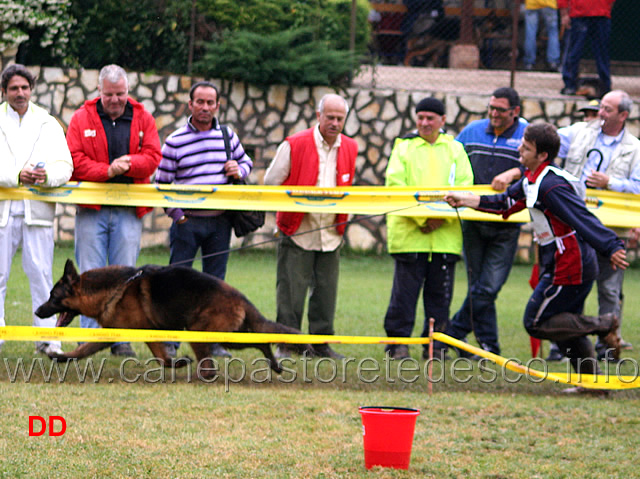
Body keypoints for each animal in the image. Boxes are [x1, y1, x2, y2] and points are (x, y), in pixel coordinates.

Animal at [36, 258, 314, 376]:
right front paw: (61, 357)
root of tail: (241, 298)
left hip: (204, 332)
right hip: (230, 335)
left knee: (215, 363)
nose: (38, 311)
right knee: (261, 341)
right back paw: (274, 365)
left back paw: (207, 375)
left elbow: (162, 358)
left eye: (53, 296)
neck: (114, 288)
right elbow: (83, 350)